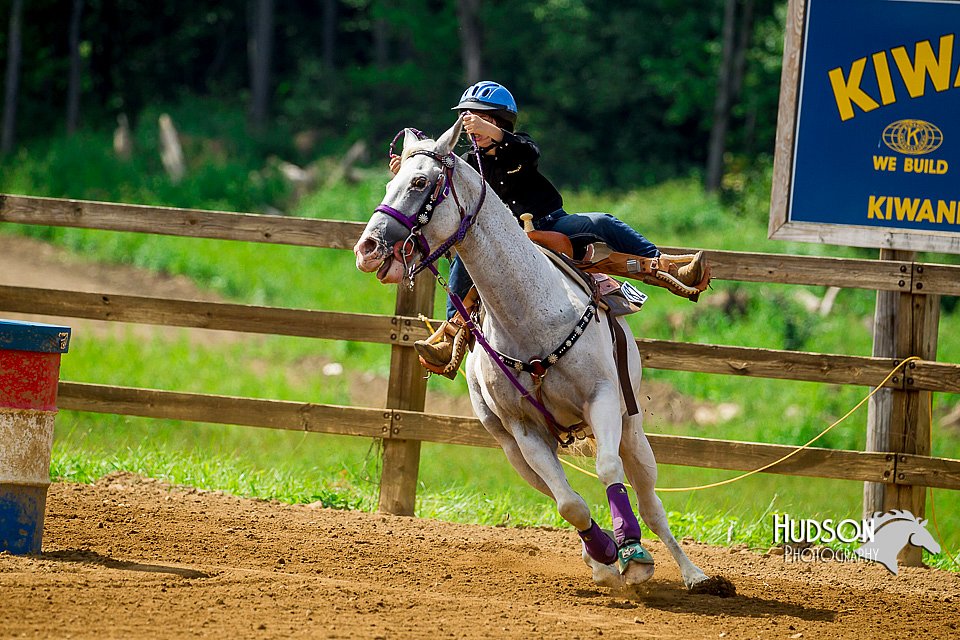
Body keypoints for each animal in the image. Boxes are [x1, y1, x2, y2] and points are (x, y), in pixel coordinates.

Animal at [356, 119, 716, 592]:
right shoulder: (524, 432)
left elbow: (607, 470)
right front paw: (606, 553)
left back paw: (694, 574)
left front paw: (633, 554)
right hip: (515, 450)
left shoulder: (603, 398)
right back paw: (601, 561)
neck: (529, 313)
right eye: (389, 182)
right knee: (564, 493)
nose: (367, 248)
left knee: (650, 501)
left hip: (631, 427)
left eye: (419, 182)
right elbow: (570, 505)